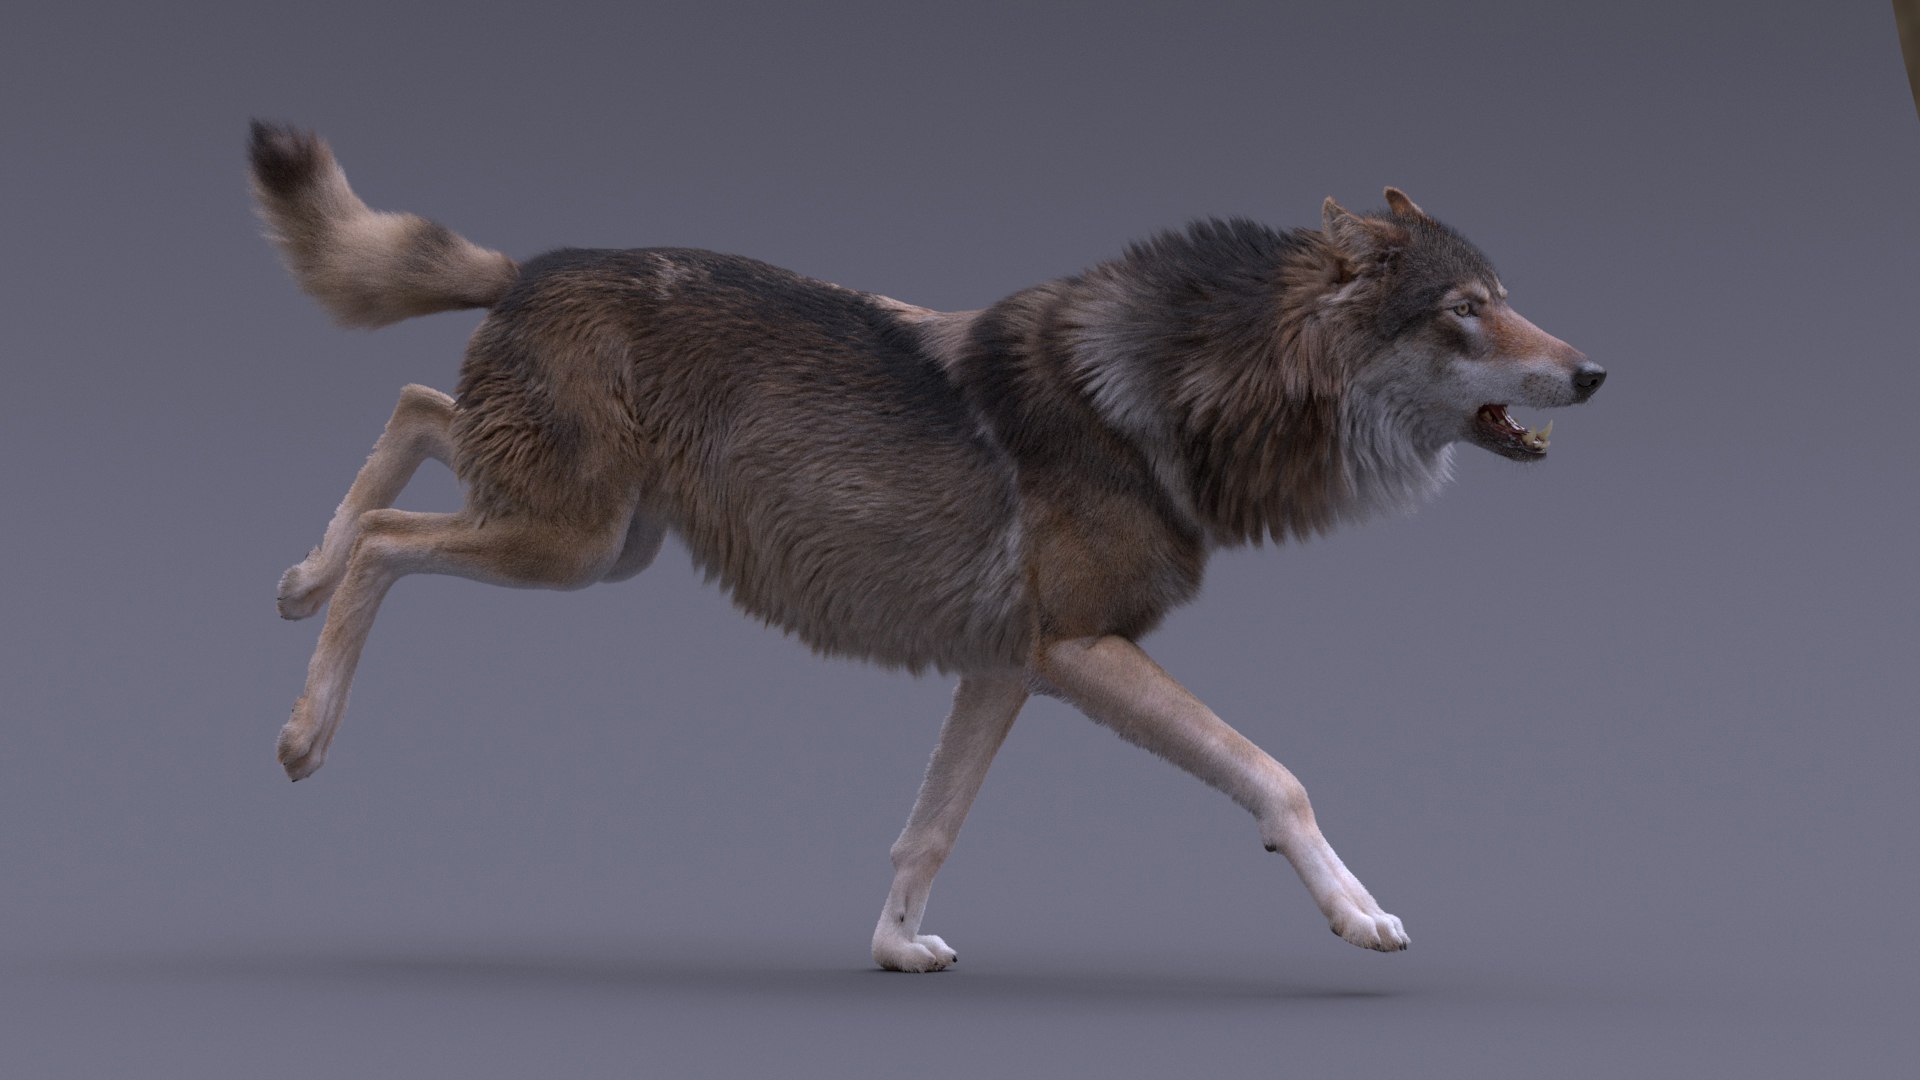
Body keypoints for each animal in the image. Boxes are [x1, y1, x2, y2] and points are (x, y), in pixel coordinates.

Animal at [249, 121, 1603, 971]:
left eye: (1507, 298)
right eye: (1467, 312)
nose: (1595, 371)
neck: (1174, 399)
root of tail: (530, 264)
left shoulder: (1010, 665)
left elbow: (930, 827)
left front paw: (895, 948)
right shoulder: (1083, 651)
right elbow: (1276, 776)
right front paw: (1360, 916)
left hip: (597, 540)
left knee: (415, 411)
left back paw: (296, 576)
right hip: (571, 545)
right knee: (389, 528)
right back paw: (305, 726)